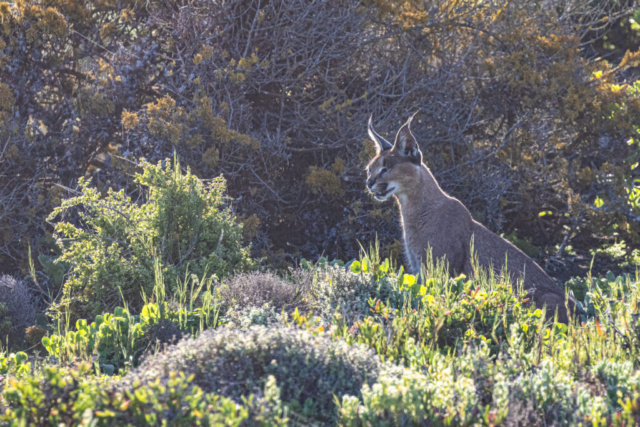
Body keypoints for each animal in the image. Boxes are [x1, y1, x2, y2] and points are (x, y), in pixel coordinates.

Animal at [364, 113, 576, 324]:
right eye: (369, 169)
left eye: (386, 168)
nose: (368, 182)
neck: (414, 209)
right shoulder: (418, 267)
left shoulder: (439, 268)